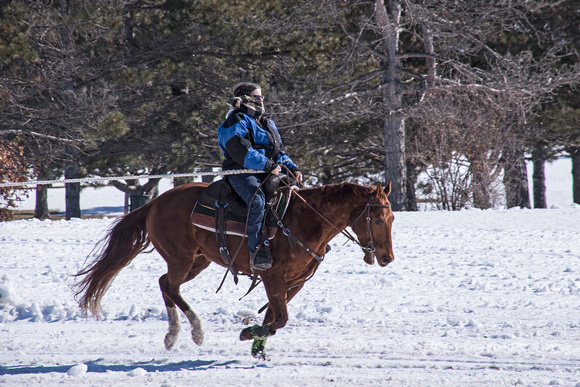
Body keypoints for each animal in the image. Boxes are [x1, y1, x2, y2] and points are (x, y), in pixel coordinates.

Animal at [73, 180, 394, 360]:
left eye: (392, 218)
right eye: (378, 220)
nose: (387, 258)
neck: (304, 221)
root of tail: (155, 201)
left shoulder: (293, 282)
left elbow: (274, 316)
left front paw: (258, 346)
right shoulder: (272, 277)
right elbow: (280, 319)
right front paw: (249, 333)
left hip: (197, 260)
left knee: (165, 284)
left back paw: (173, 335)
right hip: (182, 258)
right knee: (170, 286)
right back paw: (196, 331)